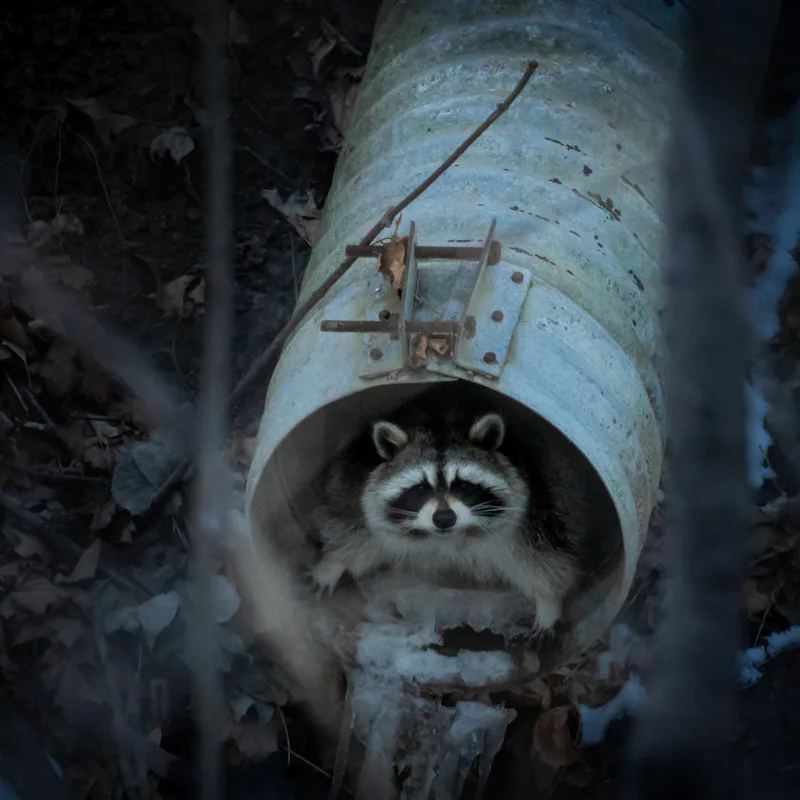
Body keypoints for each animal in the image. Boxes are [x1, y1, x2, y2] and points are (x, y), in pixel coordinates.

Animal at [308, 404, 581, 632]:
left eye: (463, 485)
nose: (444, 518)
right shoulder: (356, 477)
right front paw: (333, 563)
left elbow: (547, 555)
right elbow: (350, 524)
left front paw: (548, 603)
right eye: (420, 488)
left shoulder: (540, 500)